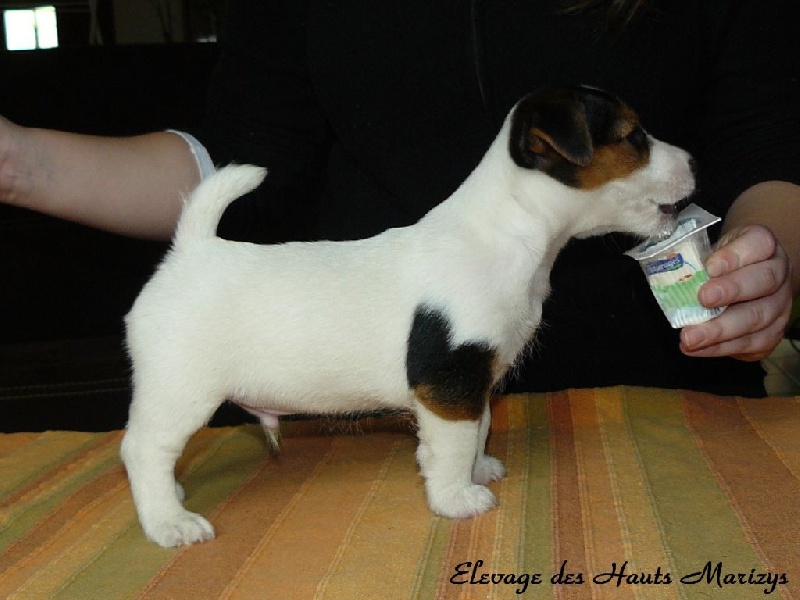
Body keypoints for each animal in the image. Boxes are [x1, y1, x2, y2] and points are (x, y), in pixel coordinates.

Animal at [121, 85, 695, 547]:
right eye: (634, 137)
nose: (692, 160)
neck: (510, 232)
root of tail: (191, 250)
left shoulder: (473, 383)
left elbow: (479, 428)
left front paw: (476, 469)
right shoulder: (449, 382)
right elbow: (456, 441)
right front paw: (456, 496)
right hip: (182, 388)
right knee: (143, 448)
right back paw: (169, 522)